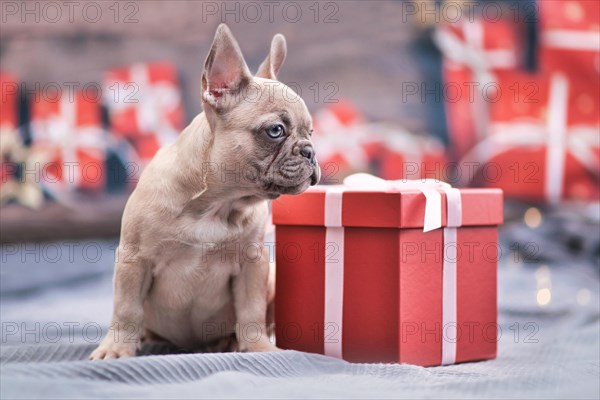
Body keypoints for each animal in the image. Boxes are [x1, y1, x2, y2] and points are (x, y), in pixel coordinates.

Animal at [89, 24, 318, 360]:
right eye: (275, 130)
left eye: (310, 131)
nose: (310, 151)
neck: (216, 204)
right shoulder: (134, 258)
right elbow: (126, 308)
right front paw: (117, 349)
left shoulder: (253, 264)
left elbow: (251, 310)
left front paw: (258, 346)